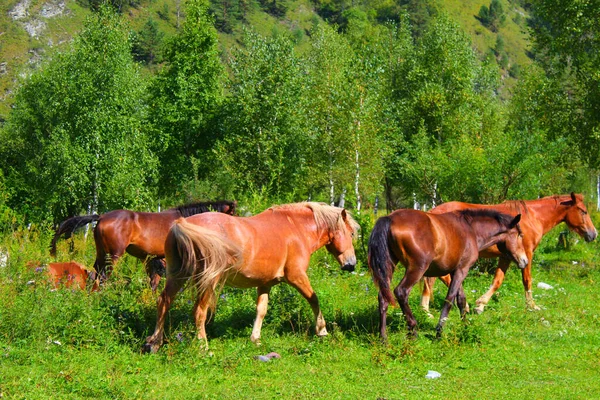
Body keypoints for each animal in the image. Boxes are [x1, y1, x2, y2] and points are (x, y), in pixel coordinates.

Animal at [49, 200, 237, 290]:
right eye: (233, 214)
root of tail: (101, 217)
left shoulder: (154, 259)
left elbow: (154, 281)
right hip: (113, 256)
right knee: (102, 277)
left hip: (101, 254)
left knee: (94, 274)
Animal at [143, 203, 358, 354]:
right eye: (350, 233)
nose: (351, 264)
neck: (295, 229)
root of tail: (182, 225)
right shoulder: (296, 277)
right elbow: (314, 300)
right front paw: (322, 330)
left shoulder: (265, 284)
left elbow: (261, 310)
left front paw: (255, 338)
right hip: (208, 283)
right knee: (199, 311)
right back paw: (203, 347)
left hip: (177, 276)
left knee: (163, 302)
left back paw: (154, 343)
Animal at [368, 206, 528, 340]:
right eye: (520, 235)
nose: (525, 261)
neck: (471, 229)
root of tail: (390, 218)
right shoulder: (462, 269)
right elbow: (450, 298)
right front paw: (439, 330)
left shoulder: (455, 271)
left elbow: (461, 299)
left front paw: (465, 325)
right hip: (417, 268)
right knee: (401, 291)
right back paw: (412, 329)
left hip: (389, 266)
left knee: (383, 296)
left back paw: (383, 337)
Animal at [420, 192, 596, 314]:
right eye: (583, 211)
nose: (593, 234)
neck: (532, 218)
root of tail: (432, 212)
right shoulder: (526, 254)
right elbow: (527, 280)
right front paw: (532, 306)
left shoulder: (507, 256)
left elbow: (497, 280)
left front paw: (481, 305)